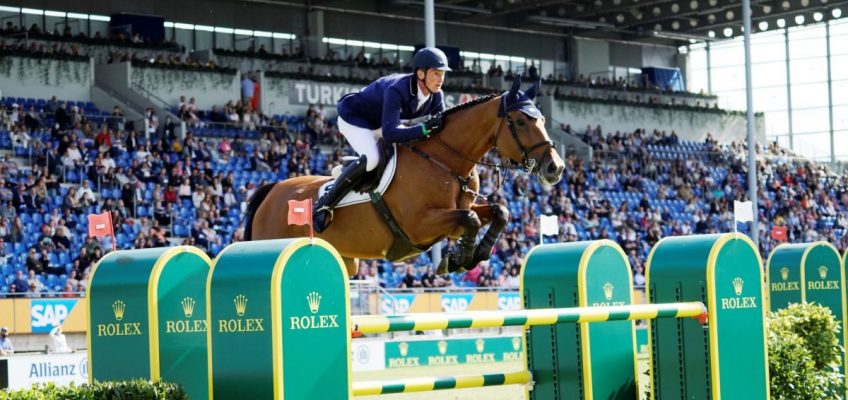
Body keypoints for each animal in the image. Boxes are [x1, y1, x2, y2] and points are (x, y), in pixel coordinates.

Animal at [243, 76, 564, 276]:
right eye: (520, 121)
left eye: (542, 119)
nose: (556, 168)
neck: (445, 163)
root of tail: (271, 191)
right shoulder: (419, 224)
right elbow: (471, 218)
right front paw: (459, 258)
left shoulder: (454, 218)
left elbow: (500, 211)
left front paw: (469, 255)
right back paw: (321, 211)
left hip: (347, 261)